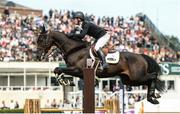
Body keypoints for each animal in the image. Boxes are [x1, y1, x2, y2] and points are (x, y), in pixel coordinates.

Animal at [35, 26, 165, 104]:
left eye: (41, 40)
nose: (38, 56)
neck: (74, 49)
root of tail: (141, 56)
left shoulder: (78, 70)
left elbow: (58, 69)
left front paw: (65, 81)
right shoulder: (79, 73)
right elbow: (57, 70)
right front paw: (66, 82)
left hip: (137, 76)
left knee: (153, 76)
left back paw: (152, 97)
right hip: (130, 80)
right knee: (148, 80)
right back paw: (152, 97)